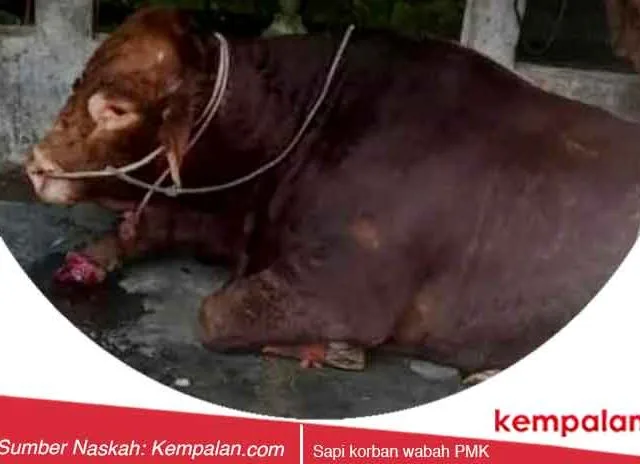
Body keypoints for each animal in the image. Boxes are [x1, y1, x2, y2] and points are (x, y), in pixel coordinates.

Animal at [24, 6, 640, 378]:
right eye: (80, 80)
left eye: (117, 108)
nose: (34, 165)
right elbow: (157, 223)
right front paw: (99, 252)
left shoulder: (345, 287)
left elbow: (215, 313)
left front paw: (335, 348)